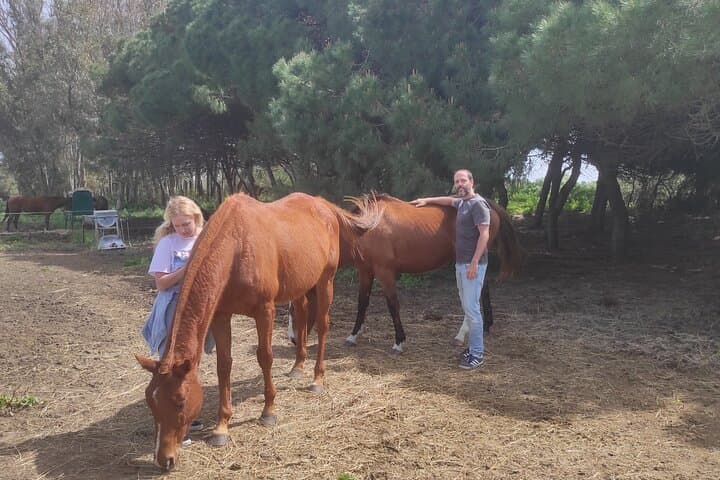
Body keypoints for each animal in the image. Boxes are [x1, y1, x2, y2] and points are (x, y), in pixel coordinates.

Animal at [134, 192, 382, 471]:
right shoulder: (221, 315)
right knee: (302, 316)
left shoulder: (265, 311)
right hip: (300, 285)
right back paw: (298, 366)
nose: (164, 459)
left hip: (325, 281)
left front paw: (268, 411)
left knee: (323, 326)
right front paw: (221, 427)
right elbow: (224, 365)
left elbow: (265, 357)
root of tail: (323, 205)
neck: (236, 248)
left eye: (180, 401)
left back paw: (317, 379)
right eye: (150, 401)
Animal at [290, 193, 524, 353]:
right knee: (483, 291)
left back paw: (462, 334)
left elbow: (393, 305)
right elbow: (362, 303)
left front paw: (399, 341)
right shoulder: (366, 271)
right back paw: (485, 326)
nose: (294, 340)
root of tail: (487, 204)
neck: (366, 229)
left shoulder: (385, 272)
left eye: (296, 310)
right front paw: (353, 336)